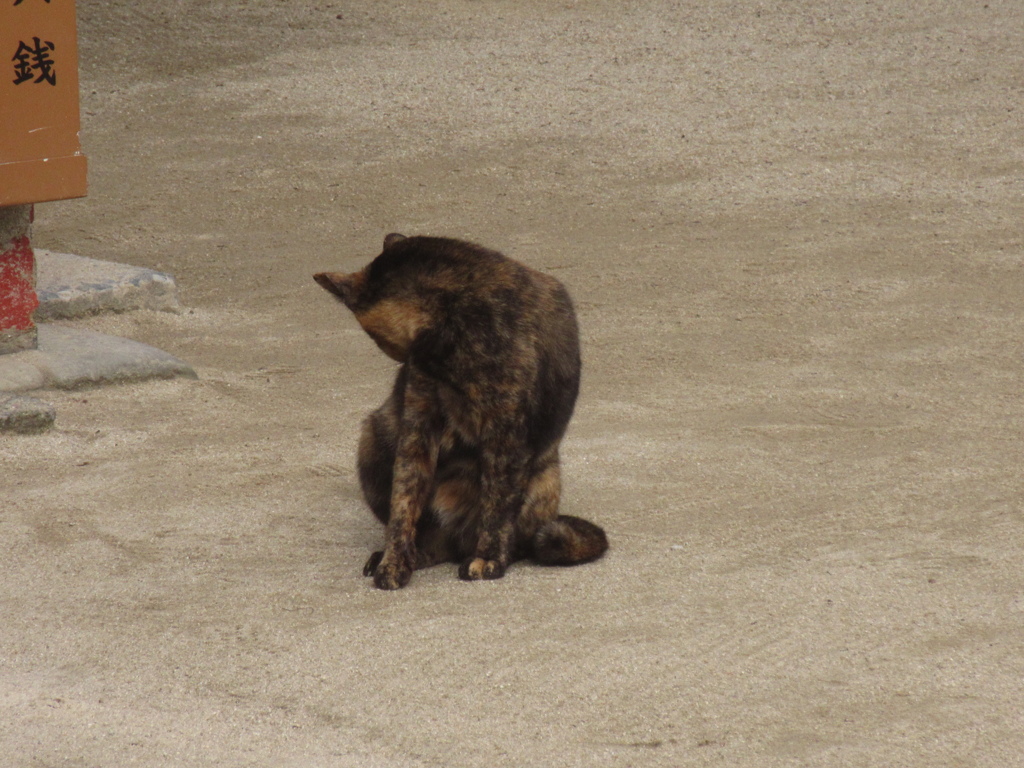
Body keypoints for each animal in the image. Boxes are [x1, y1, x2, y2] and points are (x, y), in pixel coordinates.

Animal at [311, 233, 606, 589]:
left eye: (376, 338)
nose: (401, 367)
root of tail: (456, 539)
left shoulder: (505, 434)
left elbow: (497, 505)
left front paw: (488, 558)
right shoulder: (417, 426)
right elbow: (403, 503)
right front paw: (394, 560)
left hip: (543, 478)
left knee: (513, 536)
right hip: (375, 436)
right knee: (429, 535)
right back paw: (413, 553)